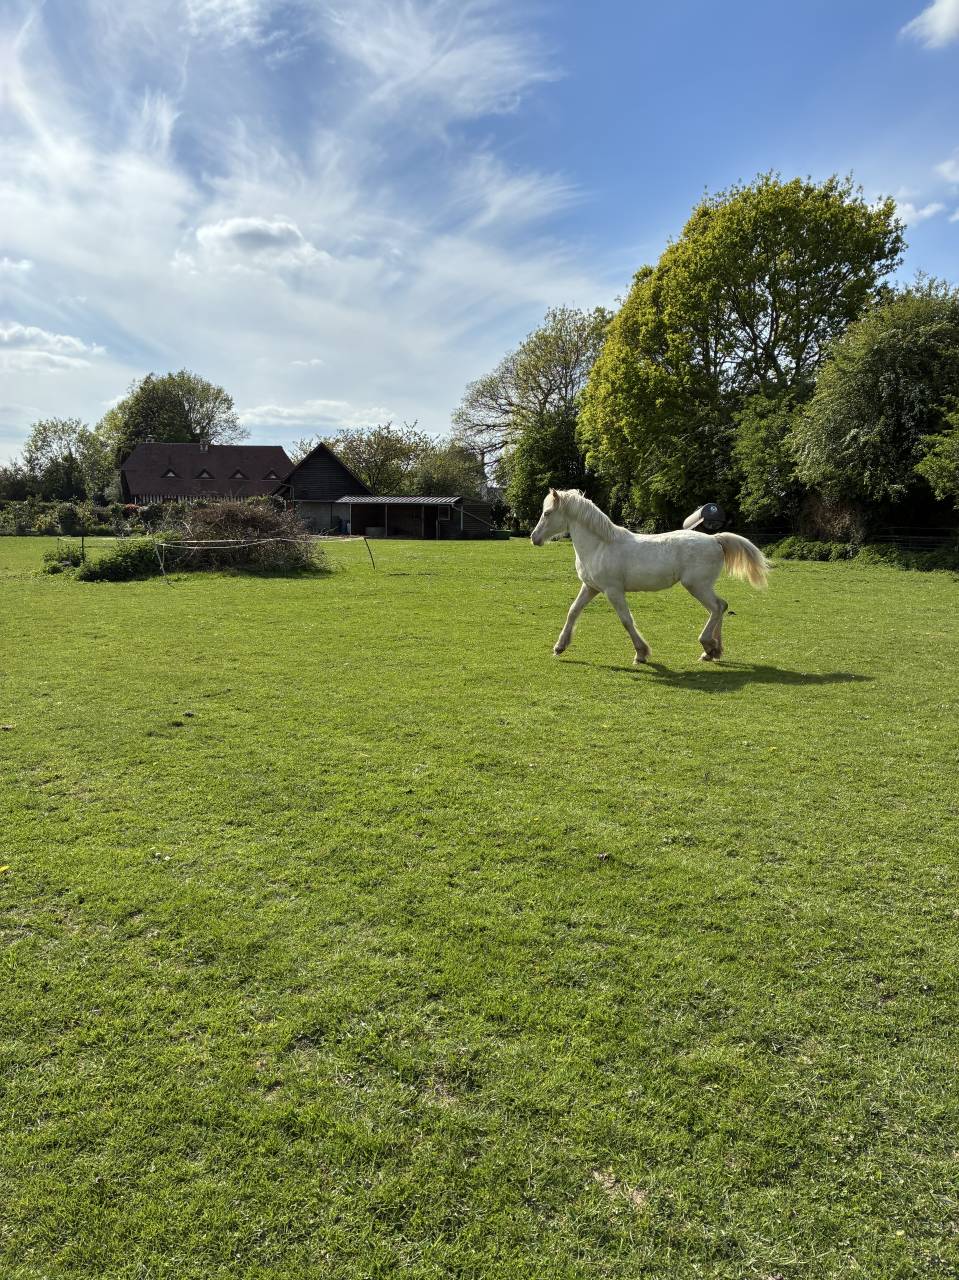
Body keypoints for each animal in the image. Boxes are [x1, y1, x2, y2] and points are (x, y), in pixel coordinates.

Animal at [530, 488, 770, 663]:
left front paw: (641, 654)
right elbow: (573, 611)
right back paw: (713, 651)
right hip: (702, 586)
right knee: (720, 606)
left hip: (697, 586)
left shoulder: (613, 591)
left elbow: (626, 620)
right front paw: (559, 647)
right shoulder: (591, 587)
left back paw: (708, 645)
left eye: (547, 513)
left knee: (717, 607)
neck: (599, 546)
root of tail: (714, 539)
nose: (534, 538)